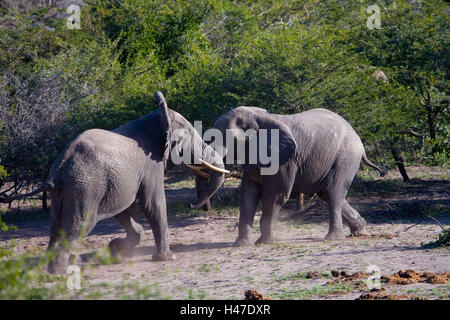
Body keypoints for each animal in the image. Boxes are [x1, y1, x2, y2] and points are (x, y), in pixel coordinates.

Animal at [4, 91, 229, 274]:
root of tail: (58, 169)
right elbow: (153, 203)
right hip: (83, 188)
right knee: (79, 225)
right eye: (190, 135)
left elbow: (125, 209)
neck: (155, 118)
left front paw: (115, 251)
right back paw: (61, 272)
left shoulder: (121, 180)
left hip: (66, 191)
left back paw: (55, 270)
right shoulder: (150, 165)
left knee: (56, 227)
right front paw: (167, 258)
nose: (193, 205)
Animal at [192, 107, 384, 245]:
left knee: (334, 194)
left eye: (227, 137)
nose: (194, 205)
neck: (258, 117)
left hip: (345, 158)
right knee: (326, 193)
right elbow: (248, 193)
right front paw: (241, 245)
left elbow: (276, 195)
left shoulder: (284, 161)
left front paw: (265, 243)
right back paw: (359, 229)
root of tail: (358, 139)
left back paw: (333, 239)